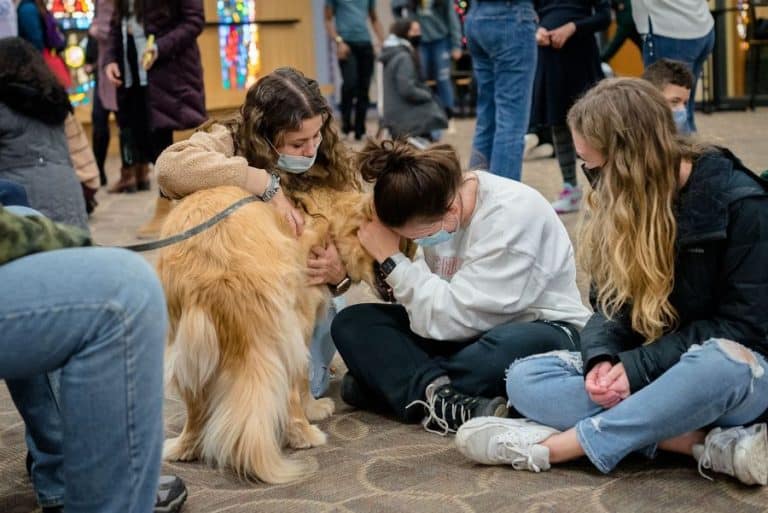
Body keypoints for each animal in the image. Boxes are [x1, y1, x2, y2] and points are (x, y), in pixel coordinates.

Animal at [158, 186, 380, 482]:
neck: (318, 213)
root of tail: (216, 269)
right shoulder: (304, 313)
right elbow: (302, 382)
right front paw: (314, 408)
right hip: (287, 331)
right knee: (291, 390)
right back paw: (305, 434)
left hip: (184, 345)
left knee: (195, 405)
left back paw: (185, 447)